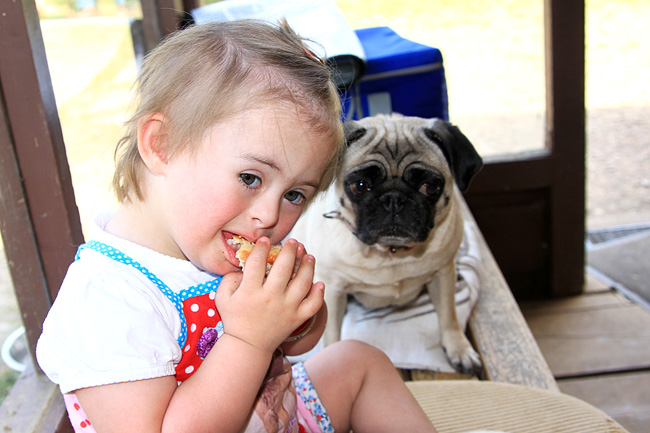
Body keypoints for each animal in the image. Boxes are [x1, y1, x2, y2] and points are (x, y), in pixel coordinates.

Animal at [290, 114, 484, 372]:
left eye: (430, 187)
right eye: (360, 186)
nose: (394, 199)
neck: (391, 252)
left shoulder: (442, 275)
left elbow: (448, 315)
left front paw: (458, 348)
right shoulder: (333, 288)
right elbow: (331, 334)